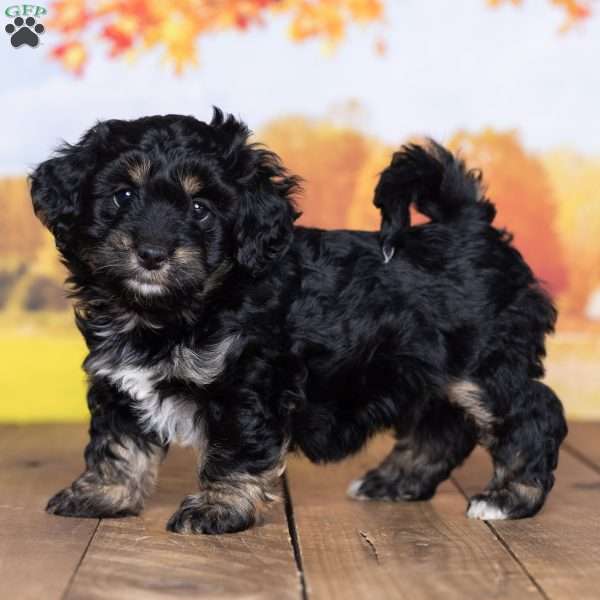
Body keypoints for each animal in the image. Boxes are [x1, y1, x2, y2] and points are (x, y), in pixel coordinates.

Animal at [30, 109, 568, 536]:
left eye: (201, 209)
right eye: (123, 196)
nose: (152, 253)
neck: (174, 312)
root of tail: (469, 226)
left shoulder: (249, 381)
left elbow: (233, 449)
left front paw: (218, 508)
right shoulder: (118, 381)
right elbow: (118, 442)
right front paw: (103, 494)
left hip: (483, 363)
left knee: (533, 414)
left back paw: (508, 498)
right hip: (429, 371)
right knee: (444, 426)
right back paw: (395, 481)